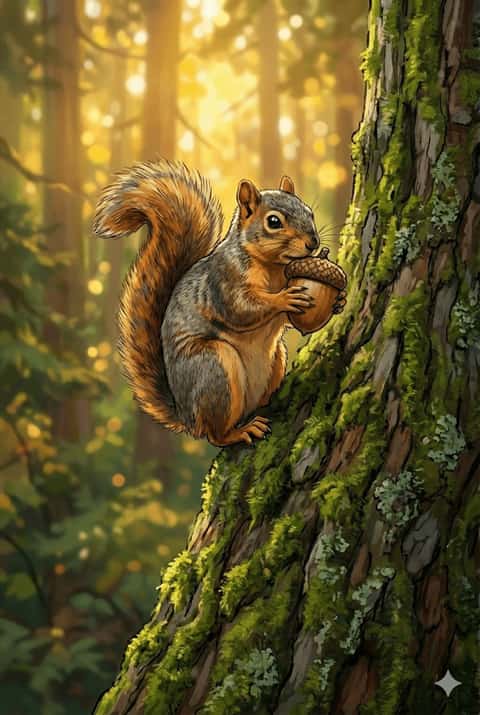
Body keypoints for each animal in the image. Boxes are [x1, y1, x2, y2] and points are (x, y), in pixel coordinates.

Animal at [93, 159, 344, 447]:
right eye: (273, 221)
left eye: (309, 212)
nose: (313, 243)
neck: (273, 269)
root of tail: (186, 417)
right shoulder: (223, 283)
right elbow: (242, 309)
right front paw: (283, 298)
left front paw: (338, 301)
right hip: (214, 368)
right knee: (215, 434)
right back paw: (239, 431)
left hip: (275, 357)